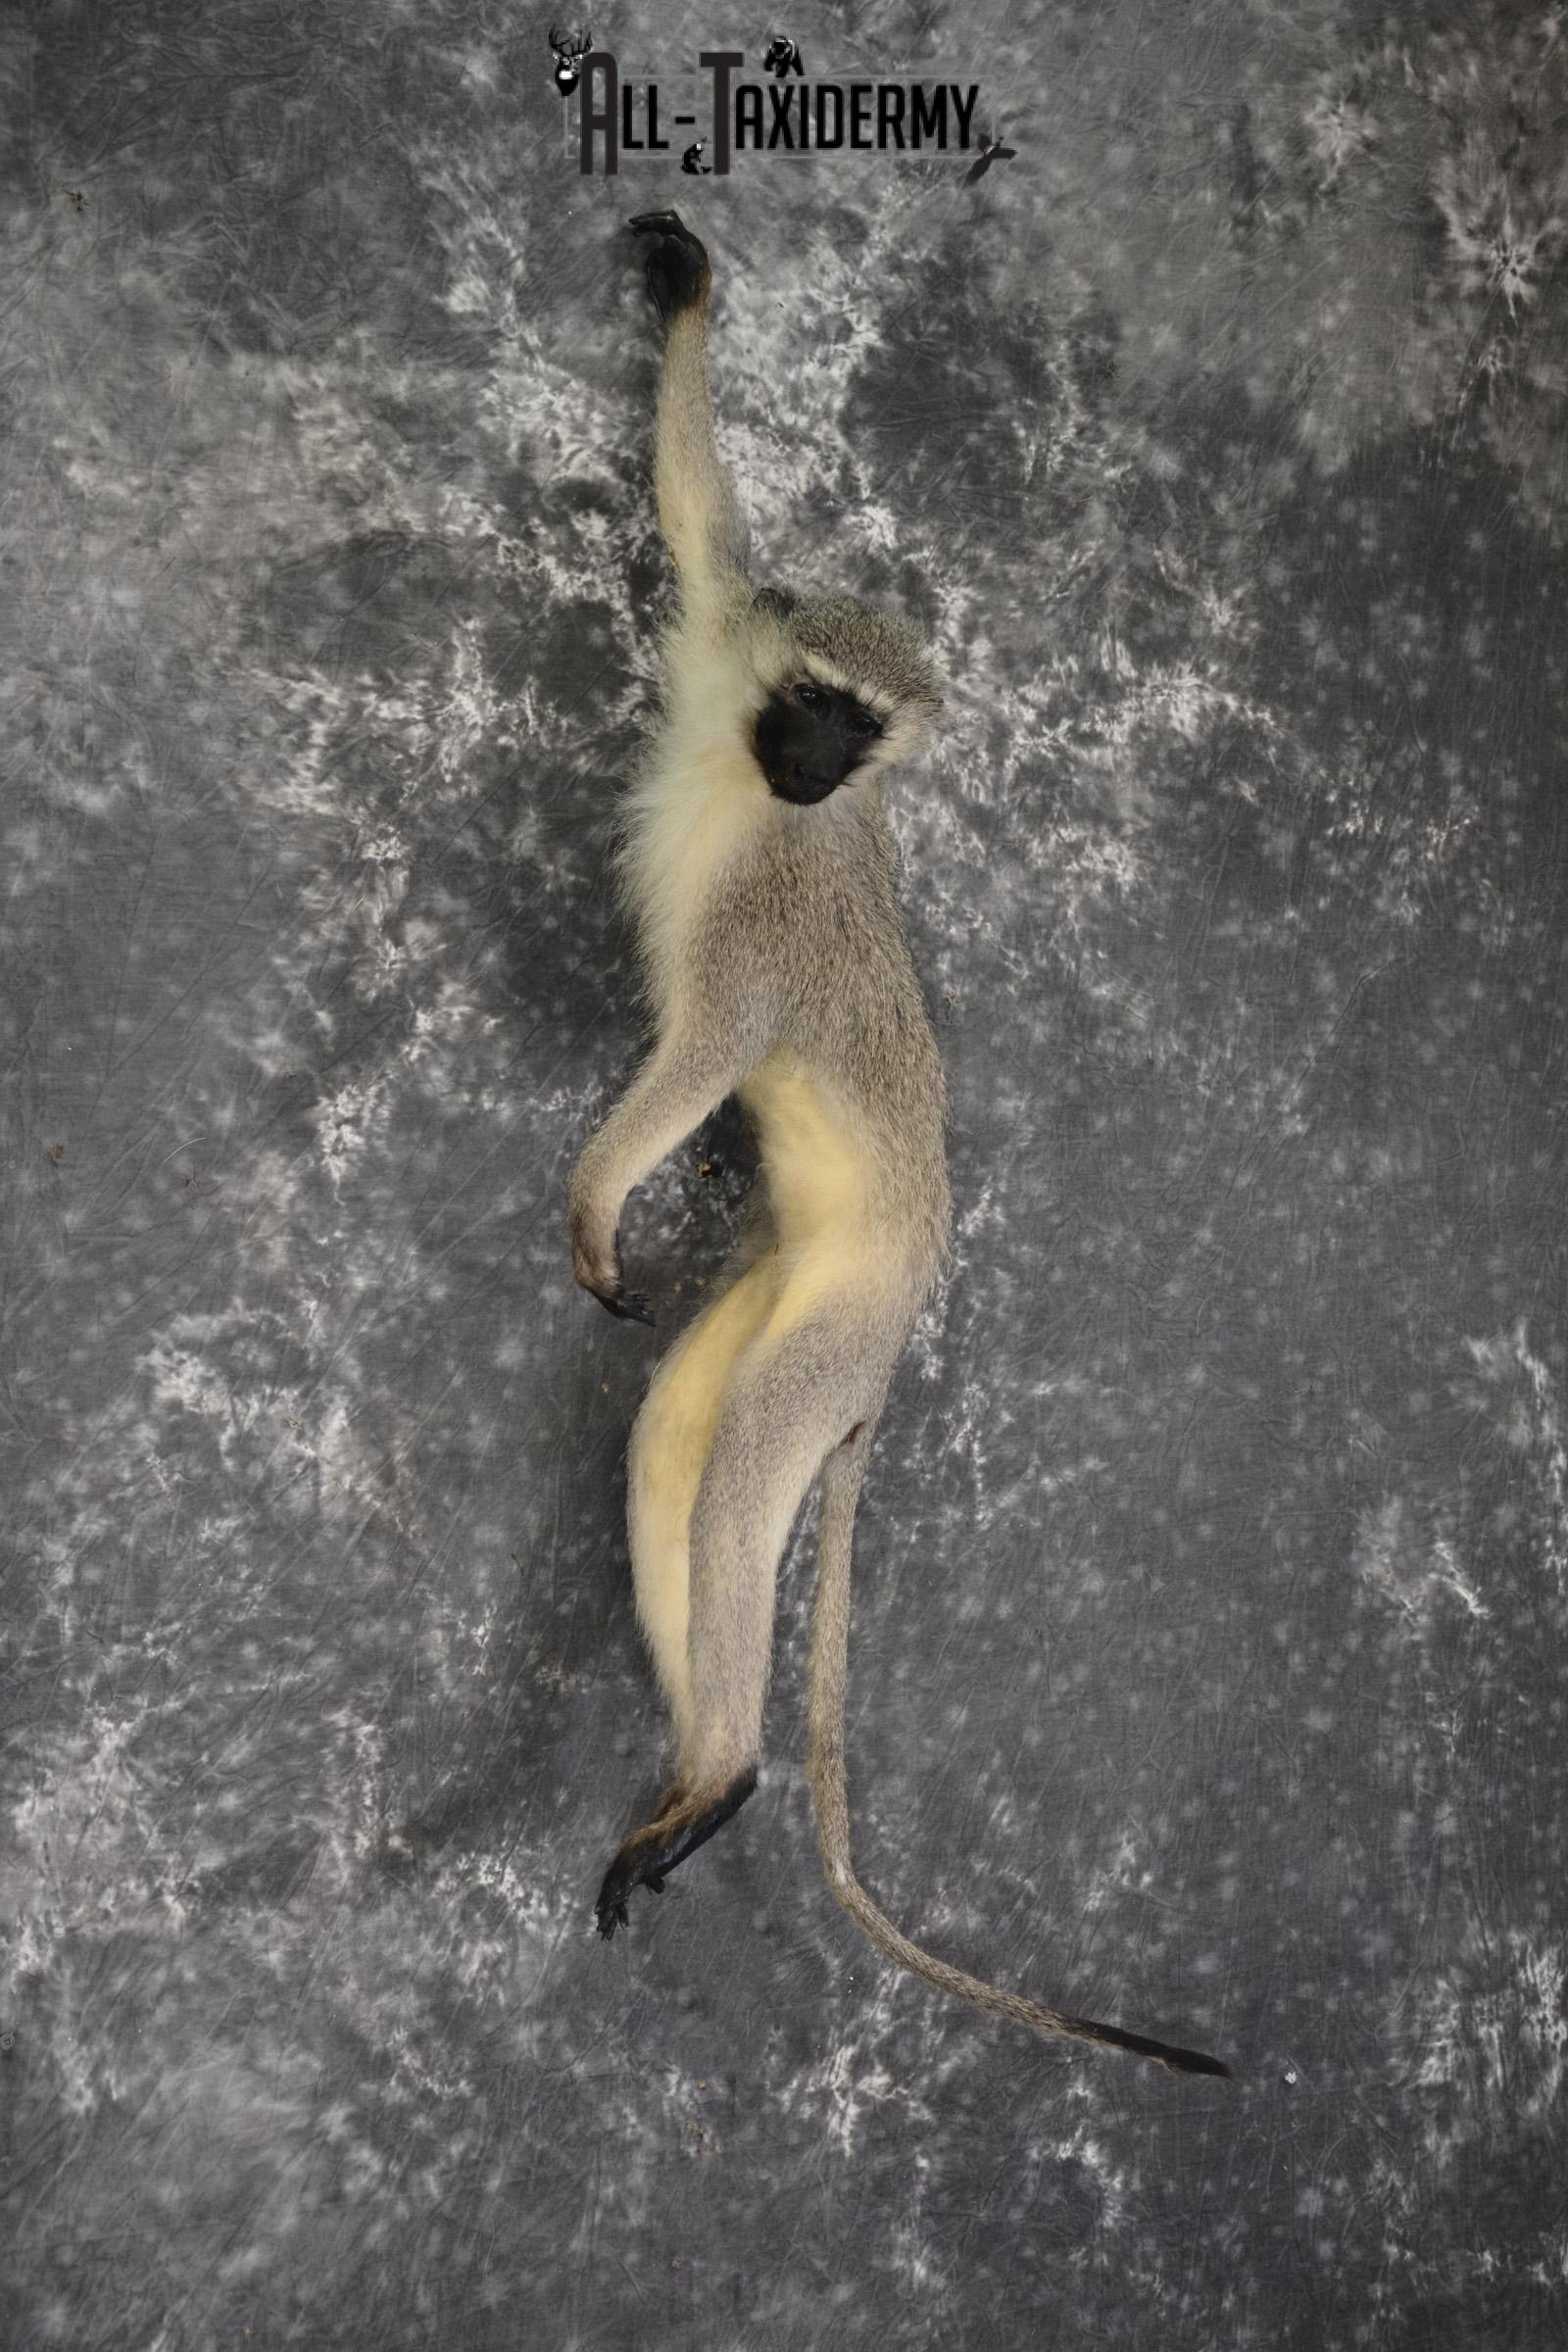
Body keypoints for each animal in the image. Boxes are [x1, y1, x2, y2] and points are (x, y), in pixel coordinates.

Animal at [569, 209, 1230, 2081]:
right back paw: (707, 1778)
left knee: (736, 1474)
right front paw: (688, 294)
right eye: (810, 699)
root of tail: (897, 1280)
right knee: (678, 1449)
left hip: (842, 1331)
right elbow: (696, 504)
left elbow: (707, 1051)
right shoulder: (729, 625)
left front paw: (592, 1198)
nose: (811, 763)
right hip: (784, 1296)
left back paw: (724, 1779)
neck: (756, 786)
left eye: (858, 732)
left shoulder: (769, 923)